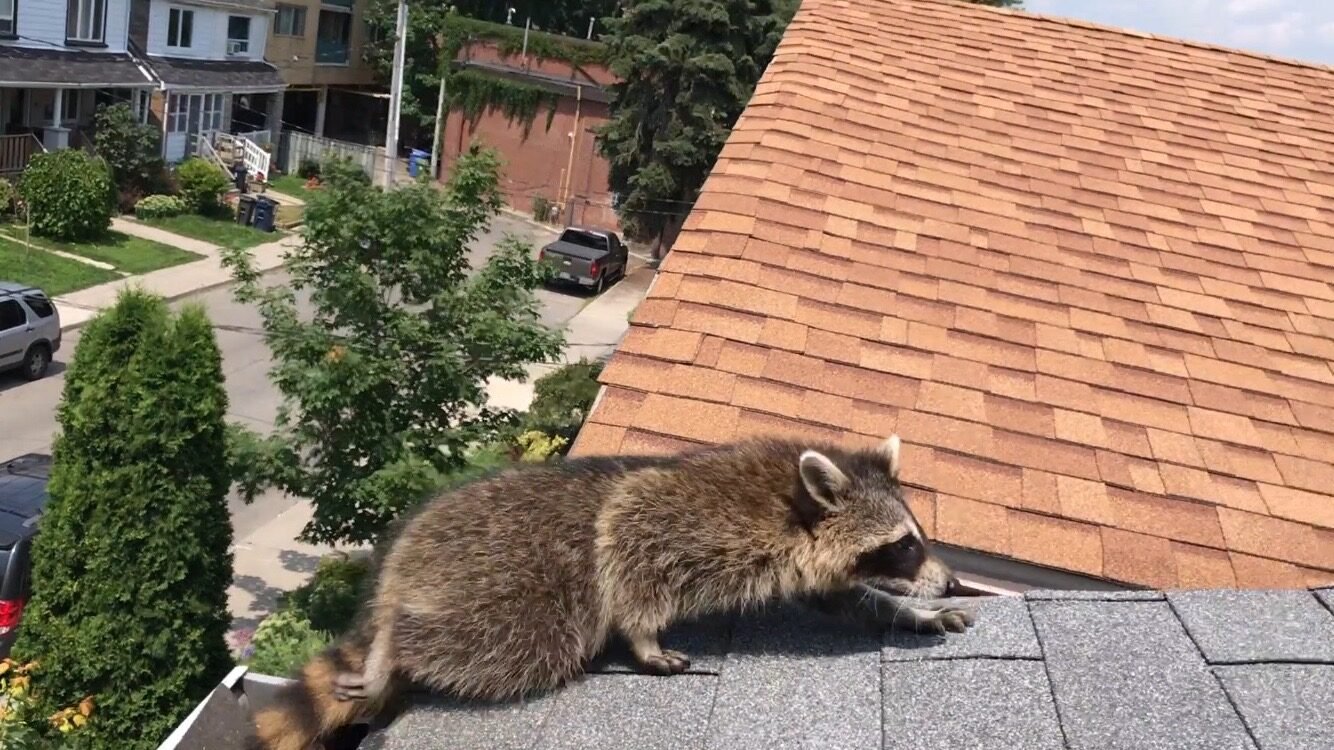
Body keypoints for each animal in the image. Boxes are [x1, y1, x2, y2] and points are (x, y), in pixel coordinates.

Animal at [249, 434, 976, 750]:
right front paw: (646, 638)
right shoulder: (688, 516)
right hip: (506, 581)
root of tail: (401, 559)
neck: (793, 504)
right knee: (511, 642)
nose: (949, 578)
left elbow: (843, 600)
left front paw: (911, 614)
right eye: (904, 545)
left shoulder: (808, 568)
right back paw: (394, 643)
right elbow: (626, 536)